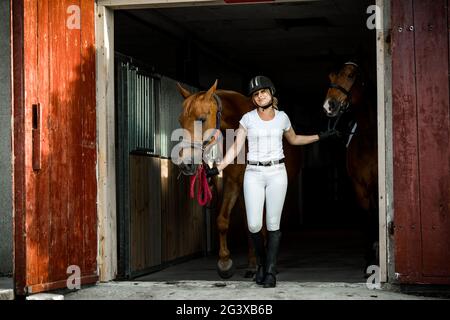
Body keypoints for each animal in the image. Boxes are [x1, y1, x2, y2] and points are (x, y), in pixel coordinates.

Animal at [178, 80, 300, 278]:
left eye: (202, 119)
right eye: (180, 121)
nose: (185, 164)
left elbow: (263, 227)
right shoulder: (234, 183)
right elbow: (223, 220)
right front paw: (225, 262)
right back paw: (251, 263)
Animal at [324, 60, 380, 270]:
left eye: (350, 75)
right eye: (331, 77)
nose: (329, 106)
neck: (369, 138)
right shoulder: (360, 187)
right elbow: (367, 216)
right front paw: (370, 259)